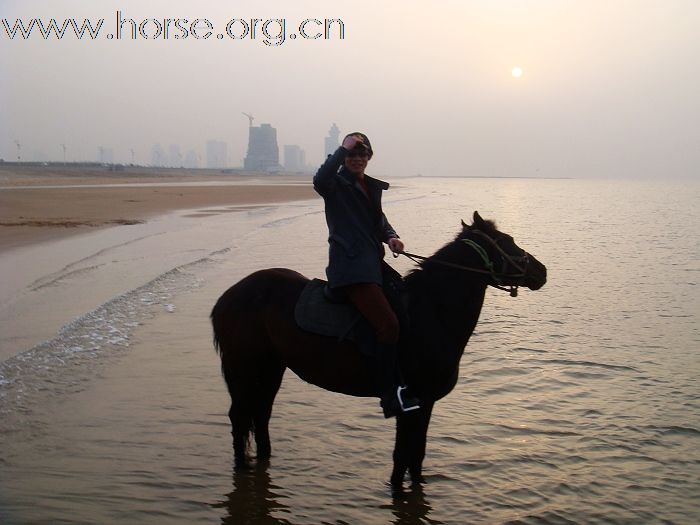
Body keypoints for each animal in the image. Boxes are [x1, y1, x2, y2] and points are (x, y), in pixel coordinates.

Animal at [211, 212, 548, 488]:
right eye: (506, 241)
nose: (542, 271)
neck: (431, 312)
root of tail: (228, 296)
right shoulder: (414, 402)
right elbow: (402, 458)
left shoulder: (425, 404)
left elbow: (416, 457)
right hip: (244, 369)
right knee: (240, 417)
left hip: (270, 369)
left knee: (260, 415)